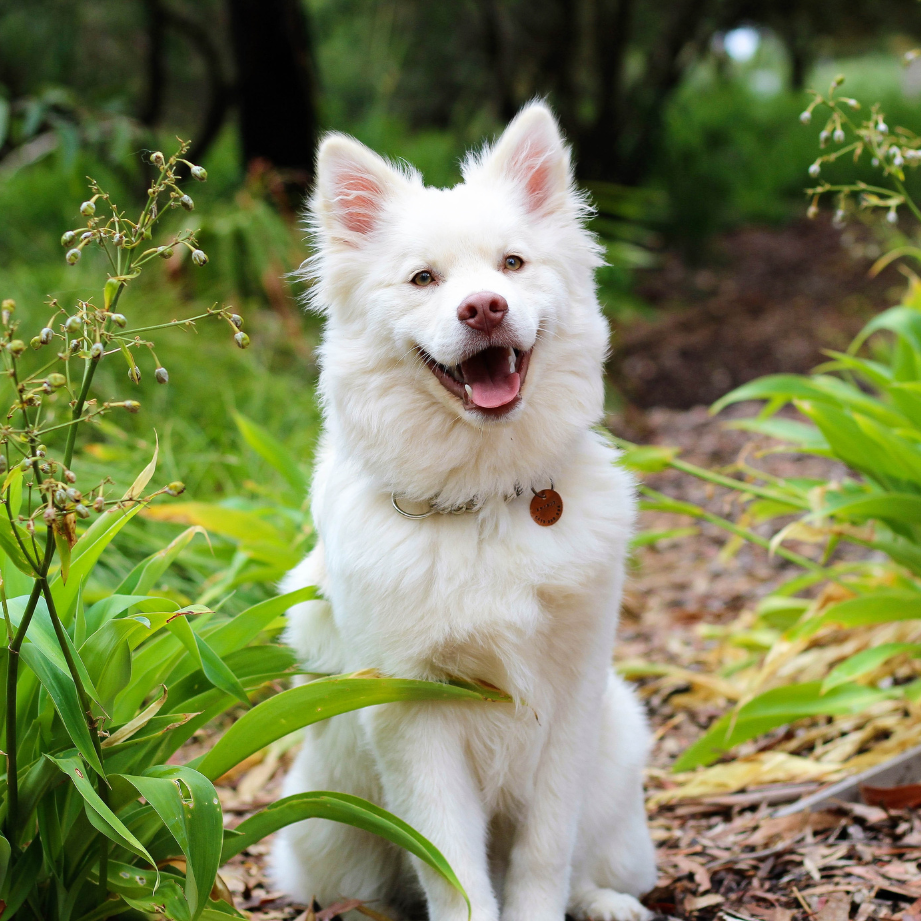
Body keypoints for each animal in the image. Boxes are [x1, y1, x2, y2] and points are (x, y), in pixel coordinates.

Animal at [270, 102, 656, 920]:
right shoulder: (413, 713)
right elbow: (451, 868)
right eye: (424, 278)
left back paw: (605, 901)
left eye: (511, 264)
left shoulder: (570, 697)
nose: (484, 308)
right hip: (325, 828)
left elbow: (544, 854)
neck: (485, 500)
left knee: (588, 864)